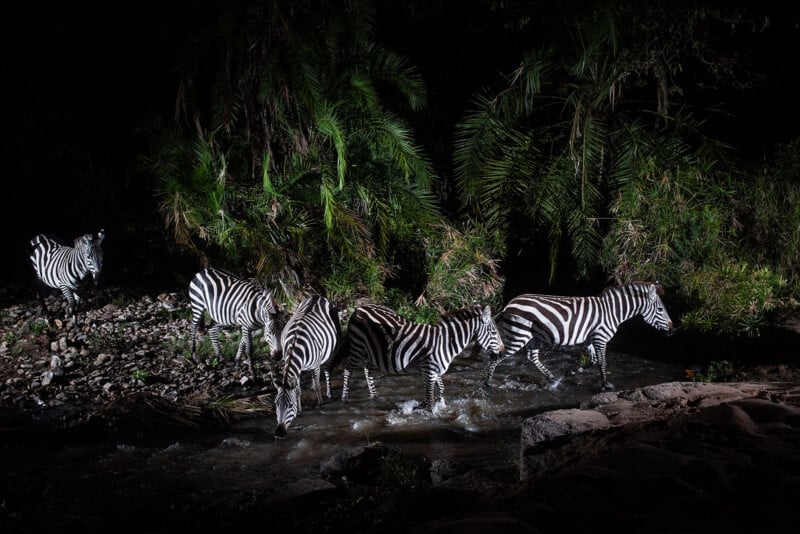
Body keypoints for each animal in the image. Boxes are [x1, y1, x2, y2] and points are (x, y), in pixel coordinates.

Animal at [273, 295, 341, 438]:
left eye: (290, 405)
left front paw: (320, 404)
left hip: (332, 349)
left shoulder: (315, 366)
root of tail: (317, 296)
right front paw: (299, 410)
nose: (278, 433)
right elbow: (298, 390)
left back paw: (329, 393)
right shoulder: (297, 370)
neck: (295, 345)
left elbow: (318, 386)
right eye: (276, 404)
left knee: (327, 370)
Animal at [341, 303, 504, 408]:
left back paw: (373, 396)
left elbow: (441, 390)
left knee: (367, 370)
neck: (445, 343)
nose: (502, 352)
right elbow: (430, 399)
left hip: (371, 351)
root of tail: (359, 308)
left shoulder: (435, 371)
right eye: (494, 332)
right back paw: (344, 398)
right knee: (348, 369)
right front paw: (430, 413)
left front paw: (438, 406)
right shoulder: (429, 371)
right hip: (357, 347)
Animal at [486, 282, 674, 390]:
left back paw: (551, 378)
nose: (672, 330)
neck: (612, 312)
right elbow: (602, 362)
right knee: (497, 356)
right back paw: (488, 382)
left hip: (534, 337)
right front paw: (606, 384)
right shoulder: (600, 337)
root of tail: (511, 302)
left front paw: (571, 372)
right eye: (660, 309)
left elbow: (593, 360)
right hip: (519, 335)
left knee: (532, 357)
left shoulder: (590, 339)